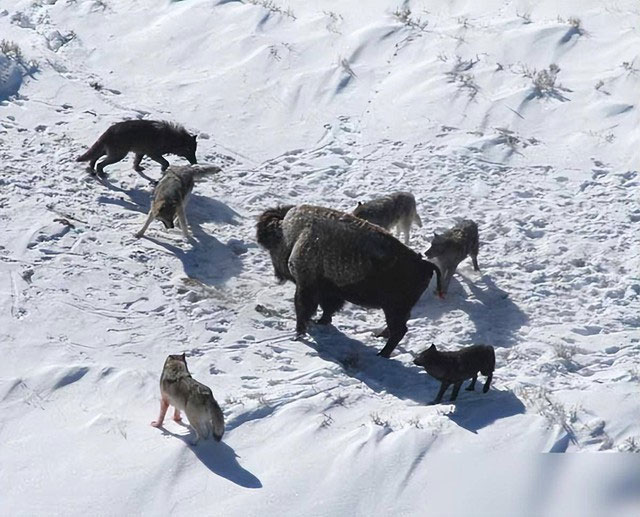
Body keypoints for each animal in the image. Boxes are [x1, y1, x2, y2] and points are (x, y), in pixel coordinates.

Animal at [255, 204, 440, 356]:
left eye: (271, 246)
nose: (277, 275)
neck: (293, 234)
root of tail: (424, 264)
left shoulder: (306, 287)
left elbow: (303, 309)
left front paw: (298, 333)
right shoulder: (330, 291)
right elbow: (328, 309)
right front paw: (321, 322)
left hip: (394, 310)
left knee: (399, 331)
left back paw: (382, 354)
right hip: (396, 310)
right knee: (397, 329)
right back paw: (379, 337)